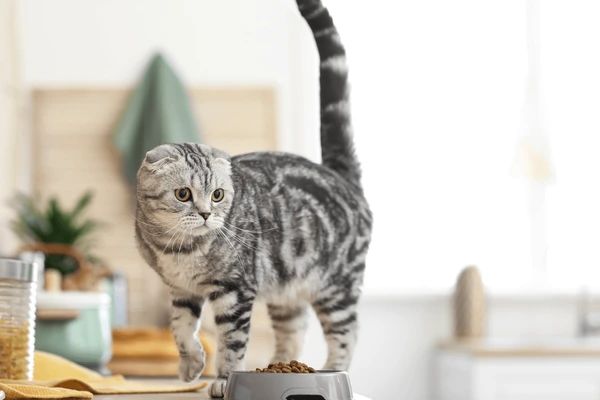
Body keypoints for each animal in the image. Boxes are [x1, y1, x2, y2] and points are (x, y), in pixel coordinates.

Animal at [134, 0, 372, 396]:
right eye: (183, 194)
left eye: (217, 195)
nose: (205, 213)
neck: (178, 249)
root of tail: (339, 174)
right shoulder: (180, 290)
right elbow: (180, 329)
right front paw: (190, 365)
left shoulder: (234, 290)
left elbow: (232, 343)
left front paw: (224, 379)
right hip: (287, 292)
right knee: (293, 335)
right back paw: (282, 366)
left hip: (336, 286)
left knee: (348, 334)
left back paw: (332, 370)